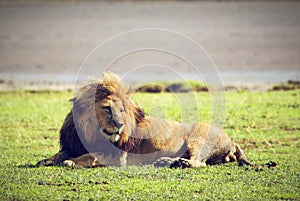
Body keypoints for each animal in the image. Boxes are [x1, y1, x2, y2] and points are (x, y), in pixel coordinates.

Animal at [36, 72, 251, 168]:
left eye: (122, 110)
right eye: (107, 108)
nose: (120, 125)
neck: (91, 132)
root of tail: (232, 140)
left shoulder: (118, 156)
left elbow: (89, 155)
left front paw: (71, 162)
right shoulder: (73, 144)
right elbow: (60, 154)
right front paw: (46, 160)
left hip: (198, 138)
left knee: (199, 162)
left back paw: (178, 163)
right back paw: (167, 162)